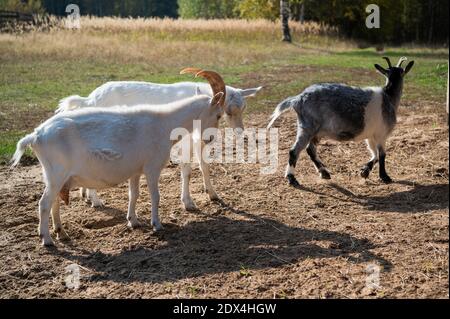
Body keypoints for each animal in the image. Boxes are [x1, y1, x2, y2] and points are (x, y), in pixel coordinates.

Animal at [11, 69, 225, 246]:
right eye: (218, 115)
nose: (210, 138)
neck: (164, 123)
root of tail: (36, 135)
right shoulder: (152, 167)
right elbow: (155, 196)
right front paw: (156, 224)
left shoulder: (136, 170)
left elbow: (134, 194)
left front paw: (133, 221)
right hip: (56, 174)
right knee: (44, 204)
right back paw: (47, 239)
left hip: (56, 177)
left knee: (54, 202)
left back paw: (61, 233)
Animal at [55, 79, 262, 210]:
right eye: (227, 111)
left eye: (243, 108)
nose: (240, 131)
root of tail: (89, 99)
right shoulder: (185, 140)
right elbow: (187, 170)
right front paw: (188, 202)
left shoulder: (197, 140)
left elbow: (204, 166)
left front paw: (213, 194)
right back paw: (96, 200)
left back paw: (86, 195)